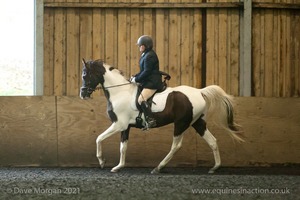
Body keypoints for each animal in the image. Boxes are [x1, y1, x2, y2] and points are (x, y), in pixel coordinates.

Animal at [79, 59, 244, 173]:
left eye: (85, 75)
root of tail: (199, 91)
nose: (83, 94)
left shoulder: (118, 124)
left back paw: (159, 167)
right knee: (213, 141)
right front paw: (118, 167)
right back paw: (215, 167)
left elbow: (99, 138)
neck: (120, 92)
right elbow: (122, 147)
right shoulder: (125, 127)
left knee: (176, 145)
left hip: (181, 123)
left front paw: (101, 161)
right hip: (197, 122)